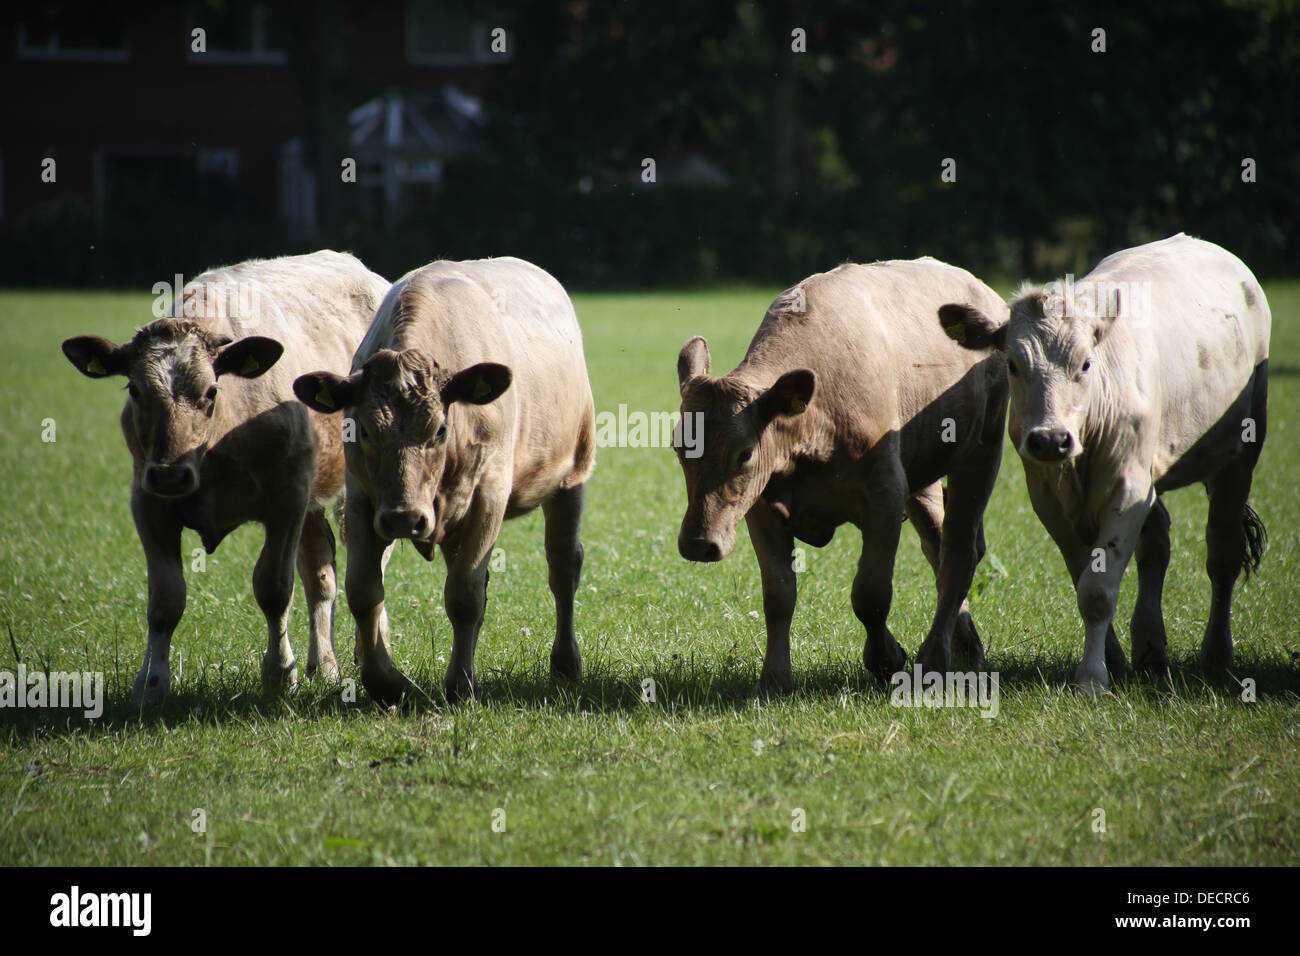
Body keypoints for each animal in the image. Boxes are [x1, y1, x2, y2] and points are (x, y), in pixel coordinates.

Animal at [64, 252, 390, 702]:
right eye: (134, 390)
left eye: (211, 392)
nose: (170, 476)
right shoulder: (147, 502)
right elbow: (164, 600)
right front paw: (151, 684)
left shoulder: (286, 498)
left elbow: (273, 588)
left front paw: (279, 674)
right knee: (320, 576)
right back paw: (323, 667)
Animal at [292, 257, 595, 707]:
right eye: (364, 430)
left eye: (438, 430)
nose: (404, 518)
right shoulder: (363, 495)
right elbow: (364, 590)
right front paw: (385, 682)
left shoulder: (489, 494)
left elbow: (464, 595)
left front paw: (460, 684)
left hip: (571, 474)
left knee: (562, 565)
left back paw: (565, 662)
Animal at [676, 257, 1008, 697]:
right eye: (678, 448)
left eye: (744, 454)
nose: (698, 544)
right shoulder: (760, 508)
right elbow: (778, 594)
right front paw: (775, 678)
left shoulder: (884, 493)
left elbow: (870, 592)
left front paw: (885, 658)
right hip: (923, 479)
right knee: (937, 545)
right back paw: (966, 644)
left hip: (982, 449)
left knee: (960, 551)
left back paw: (935, 656)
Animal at [941, 234, 1274, 691]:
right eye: (1012, 364)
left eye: (1085, 363)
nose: (1050, 439)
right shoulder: (1049, 499)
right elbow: (1085, 577)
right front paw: (1113, 660)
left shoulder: (1127, 490)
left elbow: (1097, 591)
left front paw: (1092, 678)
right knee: (1157, 545)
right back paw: (1150, 649)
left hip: (1241, 454)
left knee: (1223, 552)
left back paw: (1216, 653)